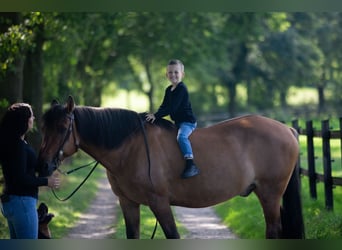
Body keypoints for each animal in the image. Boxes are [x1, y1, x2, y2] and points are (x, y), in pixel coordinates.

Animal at [36, 95, 304, 238]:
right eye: (44, 127)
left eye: (62, 127)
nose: (43, 165)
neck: (130, 147)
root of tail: (287, 129)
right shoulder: (128, 203)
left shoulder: (160, 203)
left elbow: (172, 235)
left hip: (269, 194)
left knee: (273, 229)